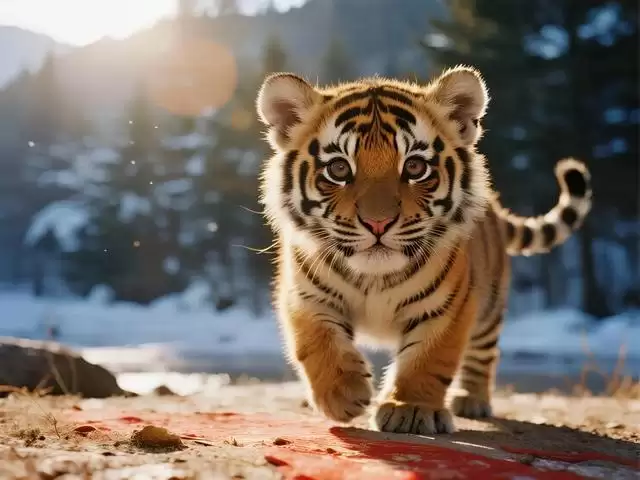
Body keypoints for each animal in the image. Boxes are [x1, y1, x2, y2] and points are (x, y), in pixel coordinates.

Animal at [255, 65, 592, 435]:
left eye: (415, 167)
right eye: (339, 168)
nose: (378, 222)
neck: (374, 277)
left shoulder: (448, 307)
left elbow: (428, 359)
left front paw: (411, 409)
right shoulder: (306, 295)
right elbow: (317, 341)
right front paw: (343, 393)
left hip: (489, 306)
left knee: (484, 353)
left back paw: (472, 400)